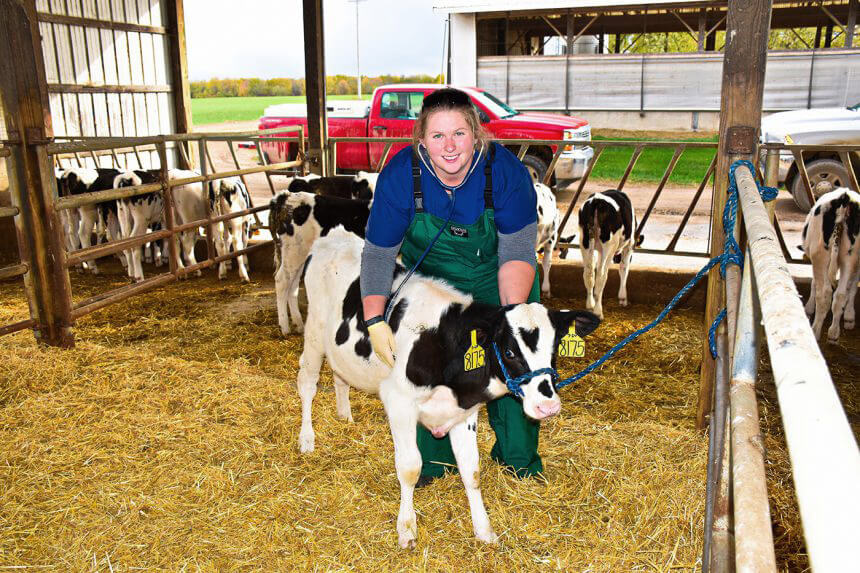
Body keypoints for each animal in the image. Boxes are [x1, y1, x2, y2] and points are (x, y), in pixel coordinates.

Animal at [268, 192, 370, 336]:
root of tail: (286, 196)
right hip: (294, 251)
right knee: (282, 281)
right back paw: (285, 328)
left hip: (298, 255)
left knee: (292, 286)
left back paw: (299, 324)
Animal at [296, 227, 596, 544]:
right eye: (510, 352)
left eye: (554, 351)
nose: (548, 405)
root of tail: (336, 235)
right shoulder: (399, 401)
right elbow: (410, 468)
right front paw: (407, 529)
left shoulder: (464, 412)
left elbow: (471, 470)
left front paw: (483, 529)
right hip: (314, 332)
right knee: (307, 383)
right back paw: (307, 439)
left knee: (339, 374)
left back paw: (345, 416)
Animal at [576, 190, 640, 320]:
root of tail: (597, 200)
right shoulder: (630, 245)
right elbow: (624, 269)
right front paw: (623, 298)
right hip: (610, 245)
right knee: (601, 275)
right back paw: (598, 311)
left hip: (584, 242)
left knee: (589, 273)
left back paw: (590, 305)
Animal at [800, 185, 860, 342]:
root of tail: (844, 196)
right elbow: (852, 287)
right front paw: (849, 317)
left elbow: (814, 283)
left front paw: (809, 309)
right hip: (849, 256)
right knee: (840, 294)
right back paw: (834, 332)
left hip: (820, 254)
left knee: (825, 293)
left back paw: (815, 331)